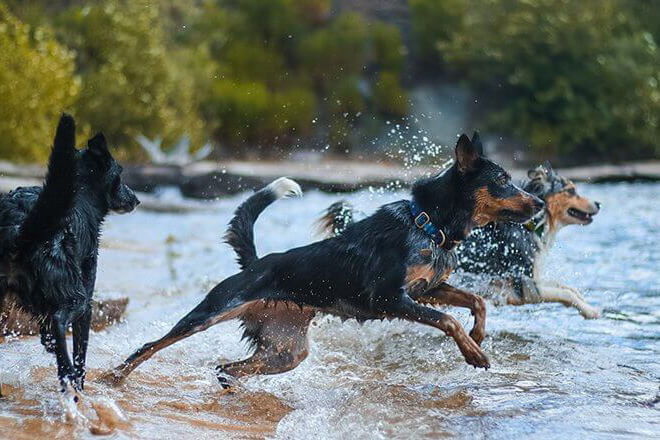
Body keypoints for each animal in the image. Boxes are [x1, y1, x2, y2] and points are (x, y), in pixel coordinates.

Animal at [103, 132, 544, 386]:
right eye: (503, 180)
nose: (540, 203)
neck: (428, 222)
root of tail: (256, 263)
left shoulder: (425, 289)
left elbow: (476, 301)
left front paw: (478, 336)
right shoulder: (390, 297)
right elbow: (449, 320)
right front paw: (474, 352)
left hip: (286, 351)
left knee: (227, 367)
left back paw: (232, 386)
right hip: (211, 311)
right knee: (151, 345)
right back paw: (113, 377)